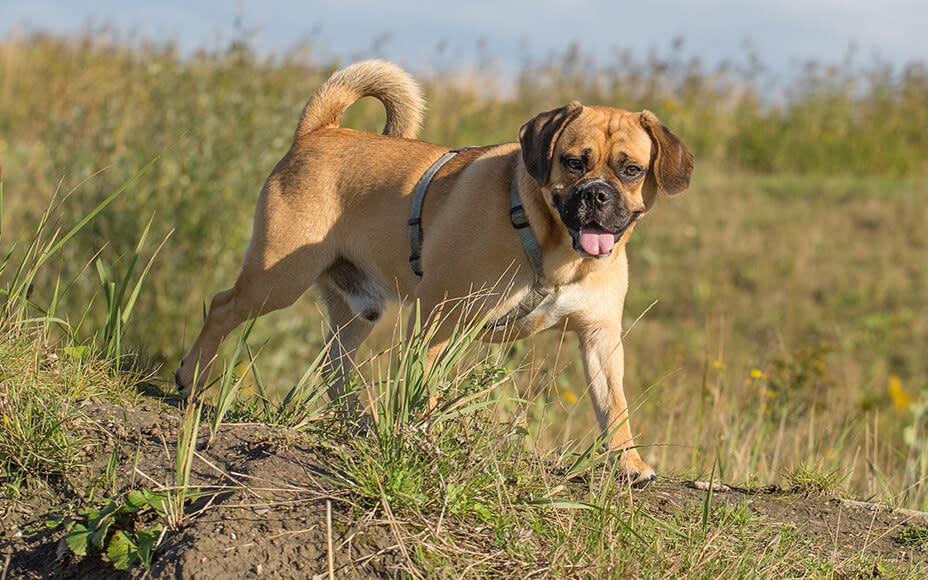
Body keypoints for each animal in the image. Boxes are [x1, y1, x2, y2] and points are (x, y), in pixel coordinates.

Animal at [178, 60, 692, 484]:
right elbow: (423, 389)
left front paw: (628, 462)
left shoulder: (600, 337)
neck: (556, 250)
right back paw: (191, 378)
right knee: (223, 307)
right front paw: (423, 439)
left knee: (334, 364)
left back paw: (358, 423)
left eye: (631, 170)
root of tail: (318, 132)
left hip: (359, 308)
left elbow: (613, 405)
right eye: (572, 162)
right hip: (276, 281)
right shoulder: (439, 317)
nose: (596, 195)